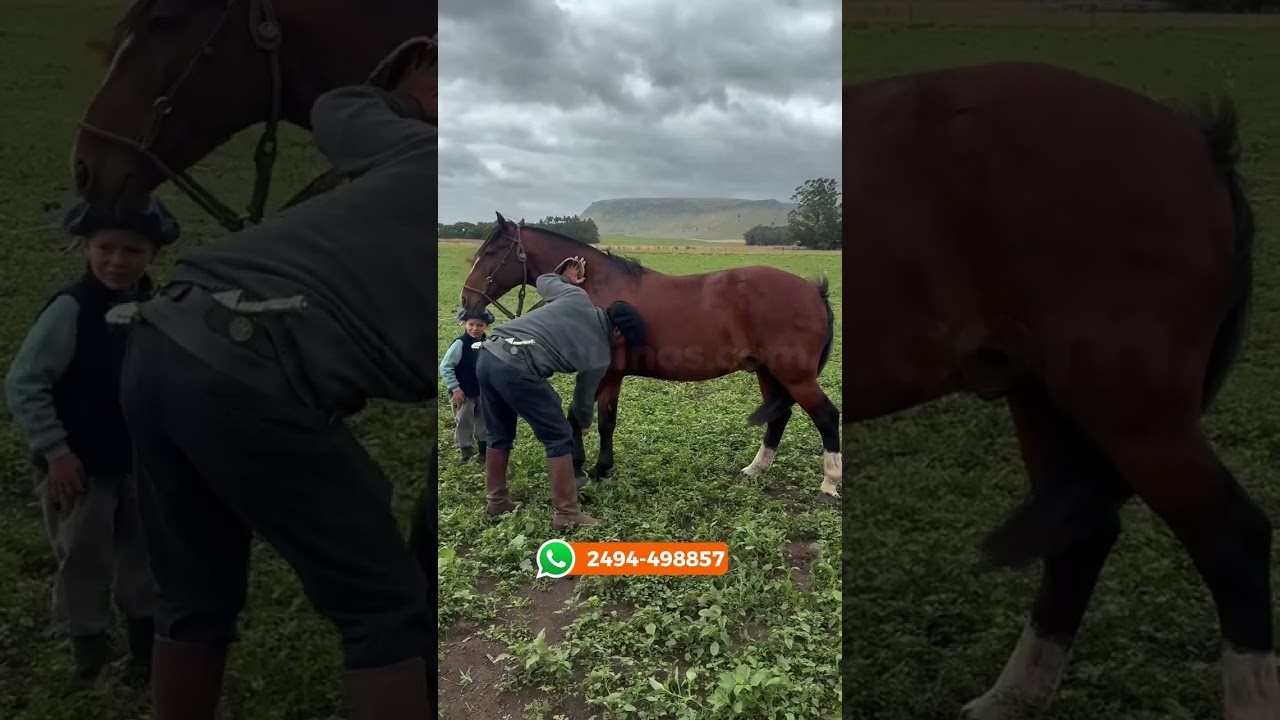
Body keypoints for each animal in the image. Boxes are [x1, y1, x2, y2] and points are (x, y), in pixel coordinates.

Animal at [459, 214, 842, 505]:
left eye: (491, 251)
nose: (467, 301)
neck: (599, 287)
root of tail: (814, 290)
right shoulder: (611, 376)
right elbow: (602, 421)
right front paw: (600, 467)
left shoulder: (601, 373)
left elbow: (581, 417)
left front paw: (585, 465)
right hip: (767, 372)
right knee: (779, 417)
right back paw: (756, 469)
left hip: (795, 375)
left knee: (826, 416)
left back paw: (829, 484)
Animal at [844, 60, 1273, 718]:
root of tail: (1199, 143)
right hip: (1044, 400)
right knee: (1083, 540)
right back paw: (1010, 697)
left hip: (1137, 419)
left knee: (1235, 543)